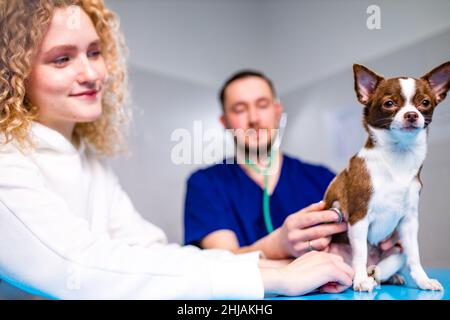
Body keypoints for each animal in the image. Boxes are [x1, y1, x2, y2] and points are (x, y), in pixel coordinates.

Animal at [324, 60, 450, 292]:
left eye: (425, 103)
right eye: (389, 103)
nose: (412, 114)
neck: (398, 156)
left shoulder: (409, 222)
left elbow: (415, 255)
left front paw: (423, 280)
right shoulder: (358, 217)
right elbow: (360, 253)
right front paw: (361, 280)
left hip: (397, 250)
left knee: (391, 263)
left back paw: (387, 275)